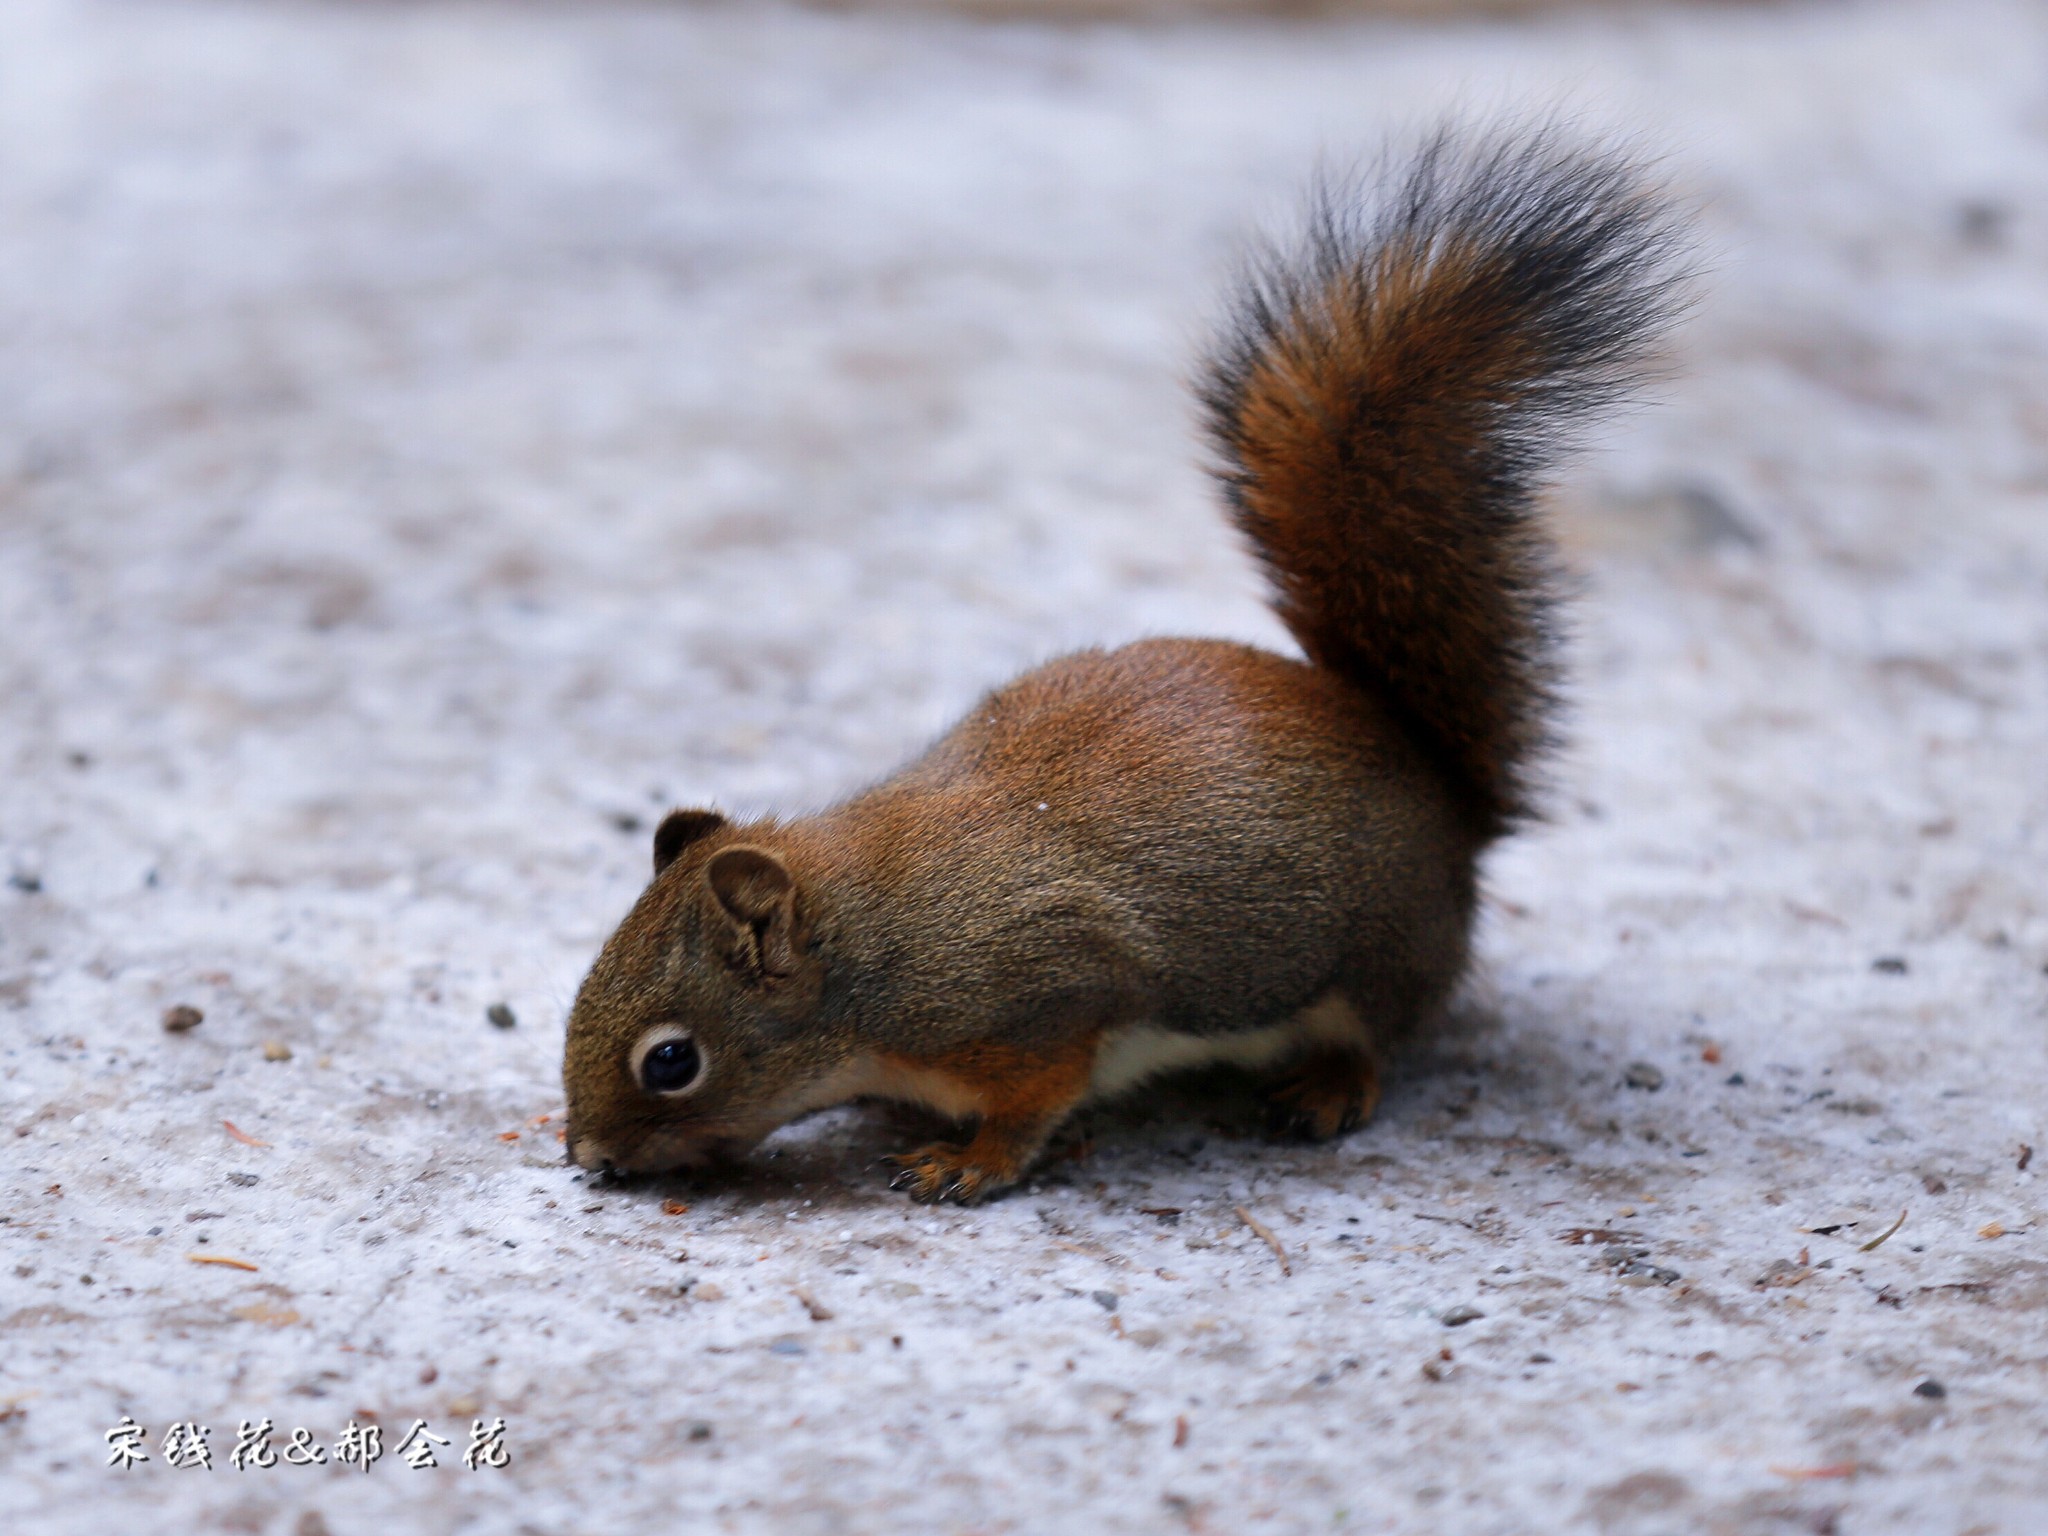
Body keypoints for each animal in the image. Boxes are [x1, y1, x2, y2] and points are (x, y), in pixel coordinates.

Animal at [557, 129, 1679, 1204]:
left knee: (1380, 1037)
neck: (868, 953)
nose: (586, 1155)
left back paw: (1328, 1088)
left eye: (671, 1062)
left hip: (1371, 958)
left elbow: (1033, 1103)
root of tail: (1442, 794)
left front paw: (968, 1164)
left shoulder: (1035, 1006)